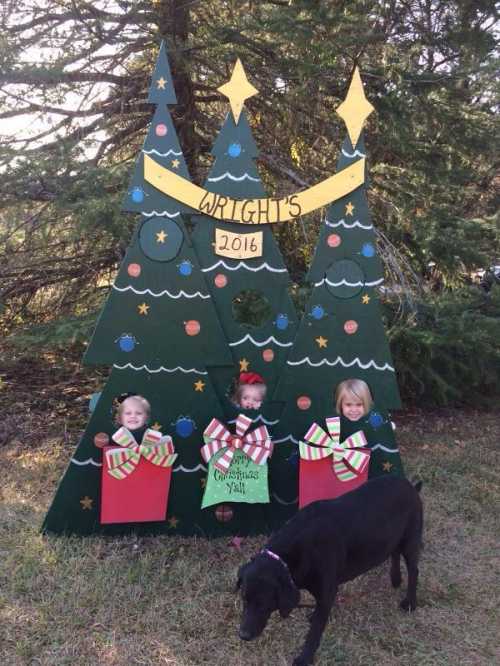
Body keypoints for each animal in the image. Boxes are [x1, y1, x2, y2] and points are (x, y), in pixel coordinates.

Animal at [237, 474, 422, 664]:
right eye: (244, 599)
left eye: (264, 603)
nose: (243, 635)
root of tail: (410, 485)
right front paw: (312, 616)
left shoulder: (326, 593)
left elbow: (314, 632)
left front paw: (304, 658)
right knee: (394, 552)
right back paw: (396, 579)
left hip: (411, 538)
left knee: (414, 570)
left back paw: (410, 602)